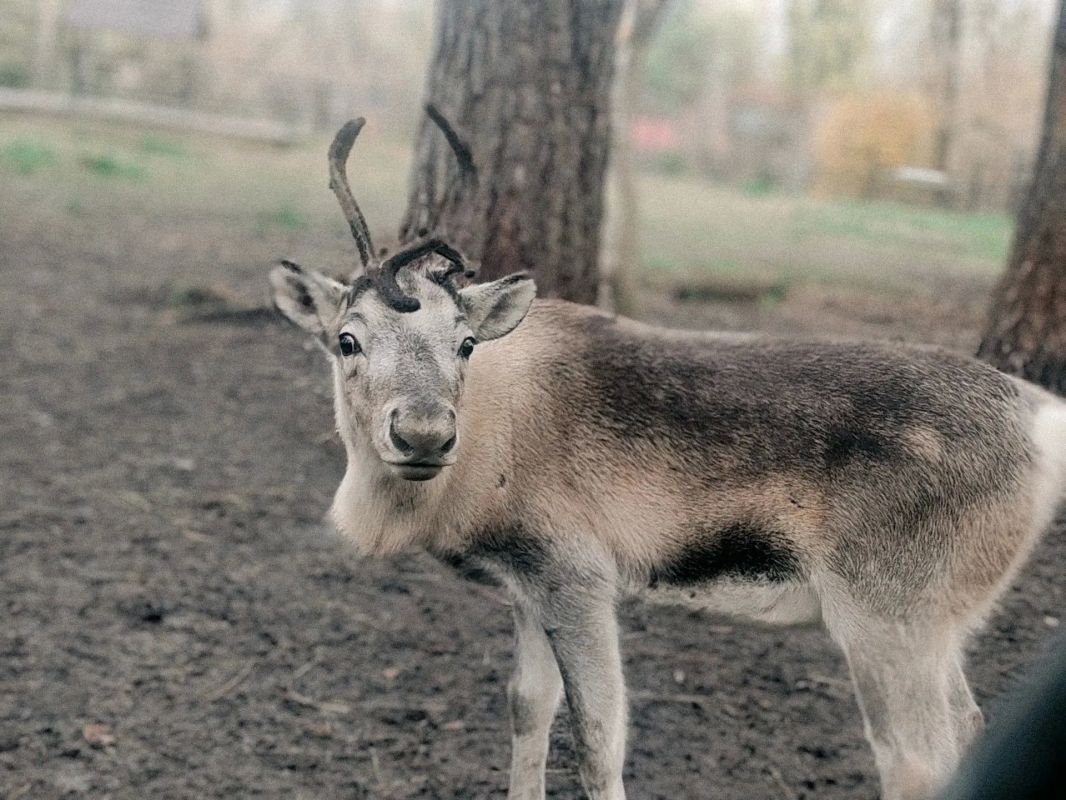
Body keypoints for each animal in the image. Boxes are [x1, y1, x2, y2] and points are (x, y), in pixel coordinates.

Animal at [268, 109, 1066, 800]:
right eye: (346, 339)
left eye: (464, 343)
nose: (425, 434)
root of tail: (1041, 418)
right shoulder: (527, 583)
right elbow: (527, 710)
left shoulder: (577, 572)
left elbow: (599, 742)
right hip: (938, 624)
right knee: (971, 723)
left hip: (889, 615)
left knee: (916, 761)